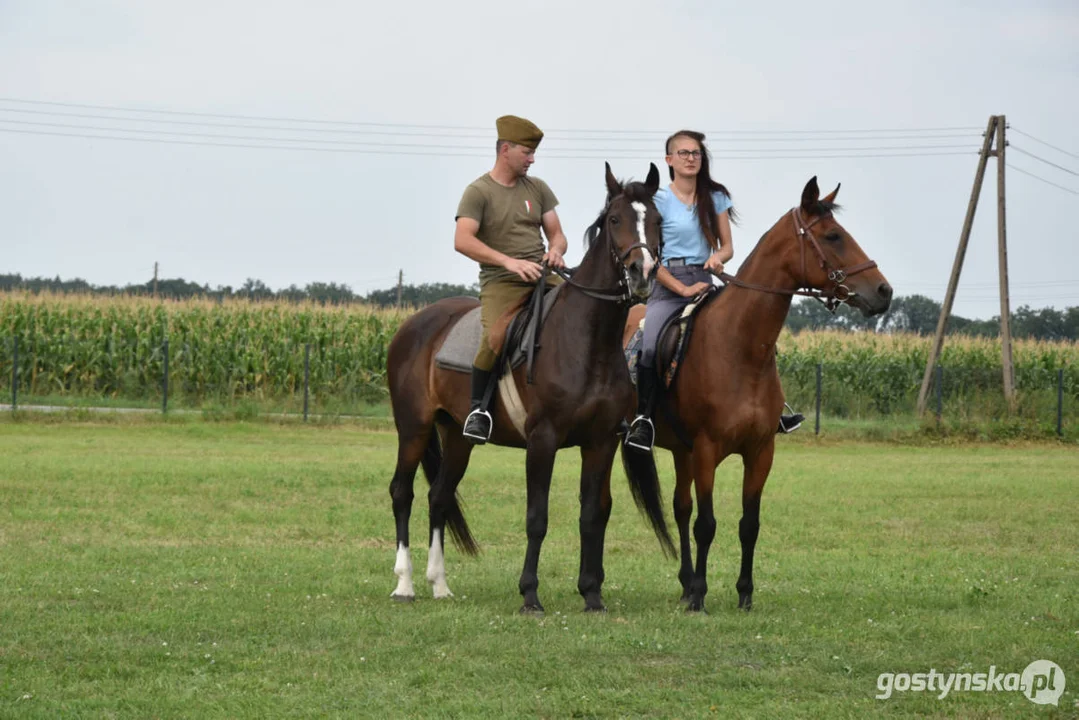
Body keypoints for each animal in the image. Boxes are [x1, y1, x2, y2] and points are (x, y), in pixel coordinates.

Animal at [388, 162, 673, 613]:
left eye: (659, 220)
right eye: (614, 219)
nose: (641, 273)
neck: (585, 341)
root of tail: (413, 326)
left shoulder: (601, 442)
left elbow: (593, 514)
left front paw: (592, 594)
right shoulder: (543, 440)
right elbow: (537, 517)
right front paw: (530, 595)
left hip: (457, 436)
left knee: (439, 496)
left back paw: (440, 584)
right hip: (413, 427)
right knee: (402, 492)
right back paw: (405, 583)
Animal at [625, 177, 893, 613]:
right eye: (833, 236)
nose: (884, 291)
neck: (740, 348)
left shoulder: (761, 451)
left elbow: (748, 525)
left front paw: (744, 594)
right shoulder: (706, 451)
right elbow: (707, 524)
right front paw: (701, 596)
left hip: (681, 451)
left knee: (680, 509)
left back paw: (684, 584)